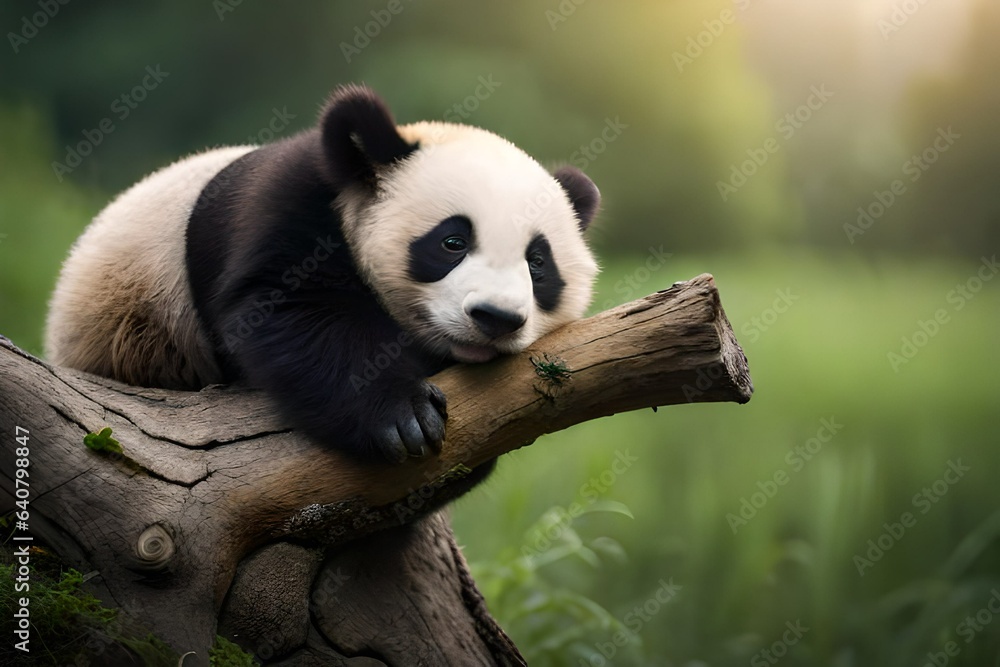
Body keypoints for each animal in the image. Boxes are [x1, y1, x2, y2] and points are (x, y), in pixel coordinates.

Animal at [45, 84, 600, 463]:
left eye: (538, 263)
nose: (495, 318)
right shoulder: (288, 206)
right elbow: (293, 311)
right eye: (452, 242)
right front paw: (402, 416)